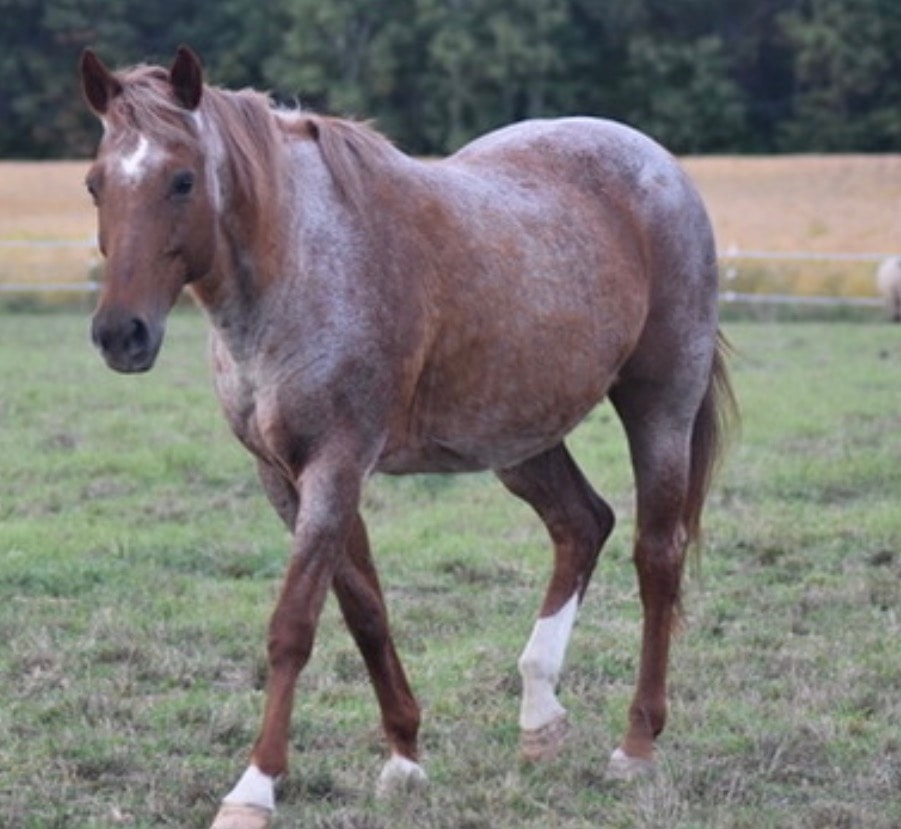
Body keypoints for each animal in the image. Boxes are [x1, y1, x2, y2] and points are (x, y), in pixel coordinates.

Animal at [79, 46, 735, 829]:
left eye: (181, 179)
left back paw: (635, 746)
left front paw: (255, 786)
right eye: (95, 183)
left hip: (659, 406)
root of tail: (658, 164)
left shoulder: (337, 463)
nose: (120, 334)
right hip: (518, 435)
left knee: (655, 555)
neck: (303, 263)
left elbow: (293, 625)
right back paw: (539, 716)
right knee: (581, 525)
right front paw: (404, 756)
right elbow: (363, 608)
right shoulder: (283, 475)